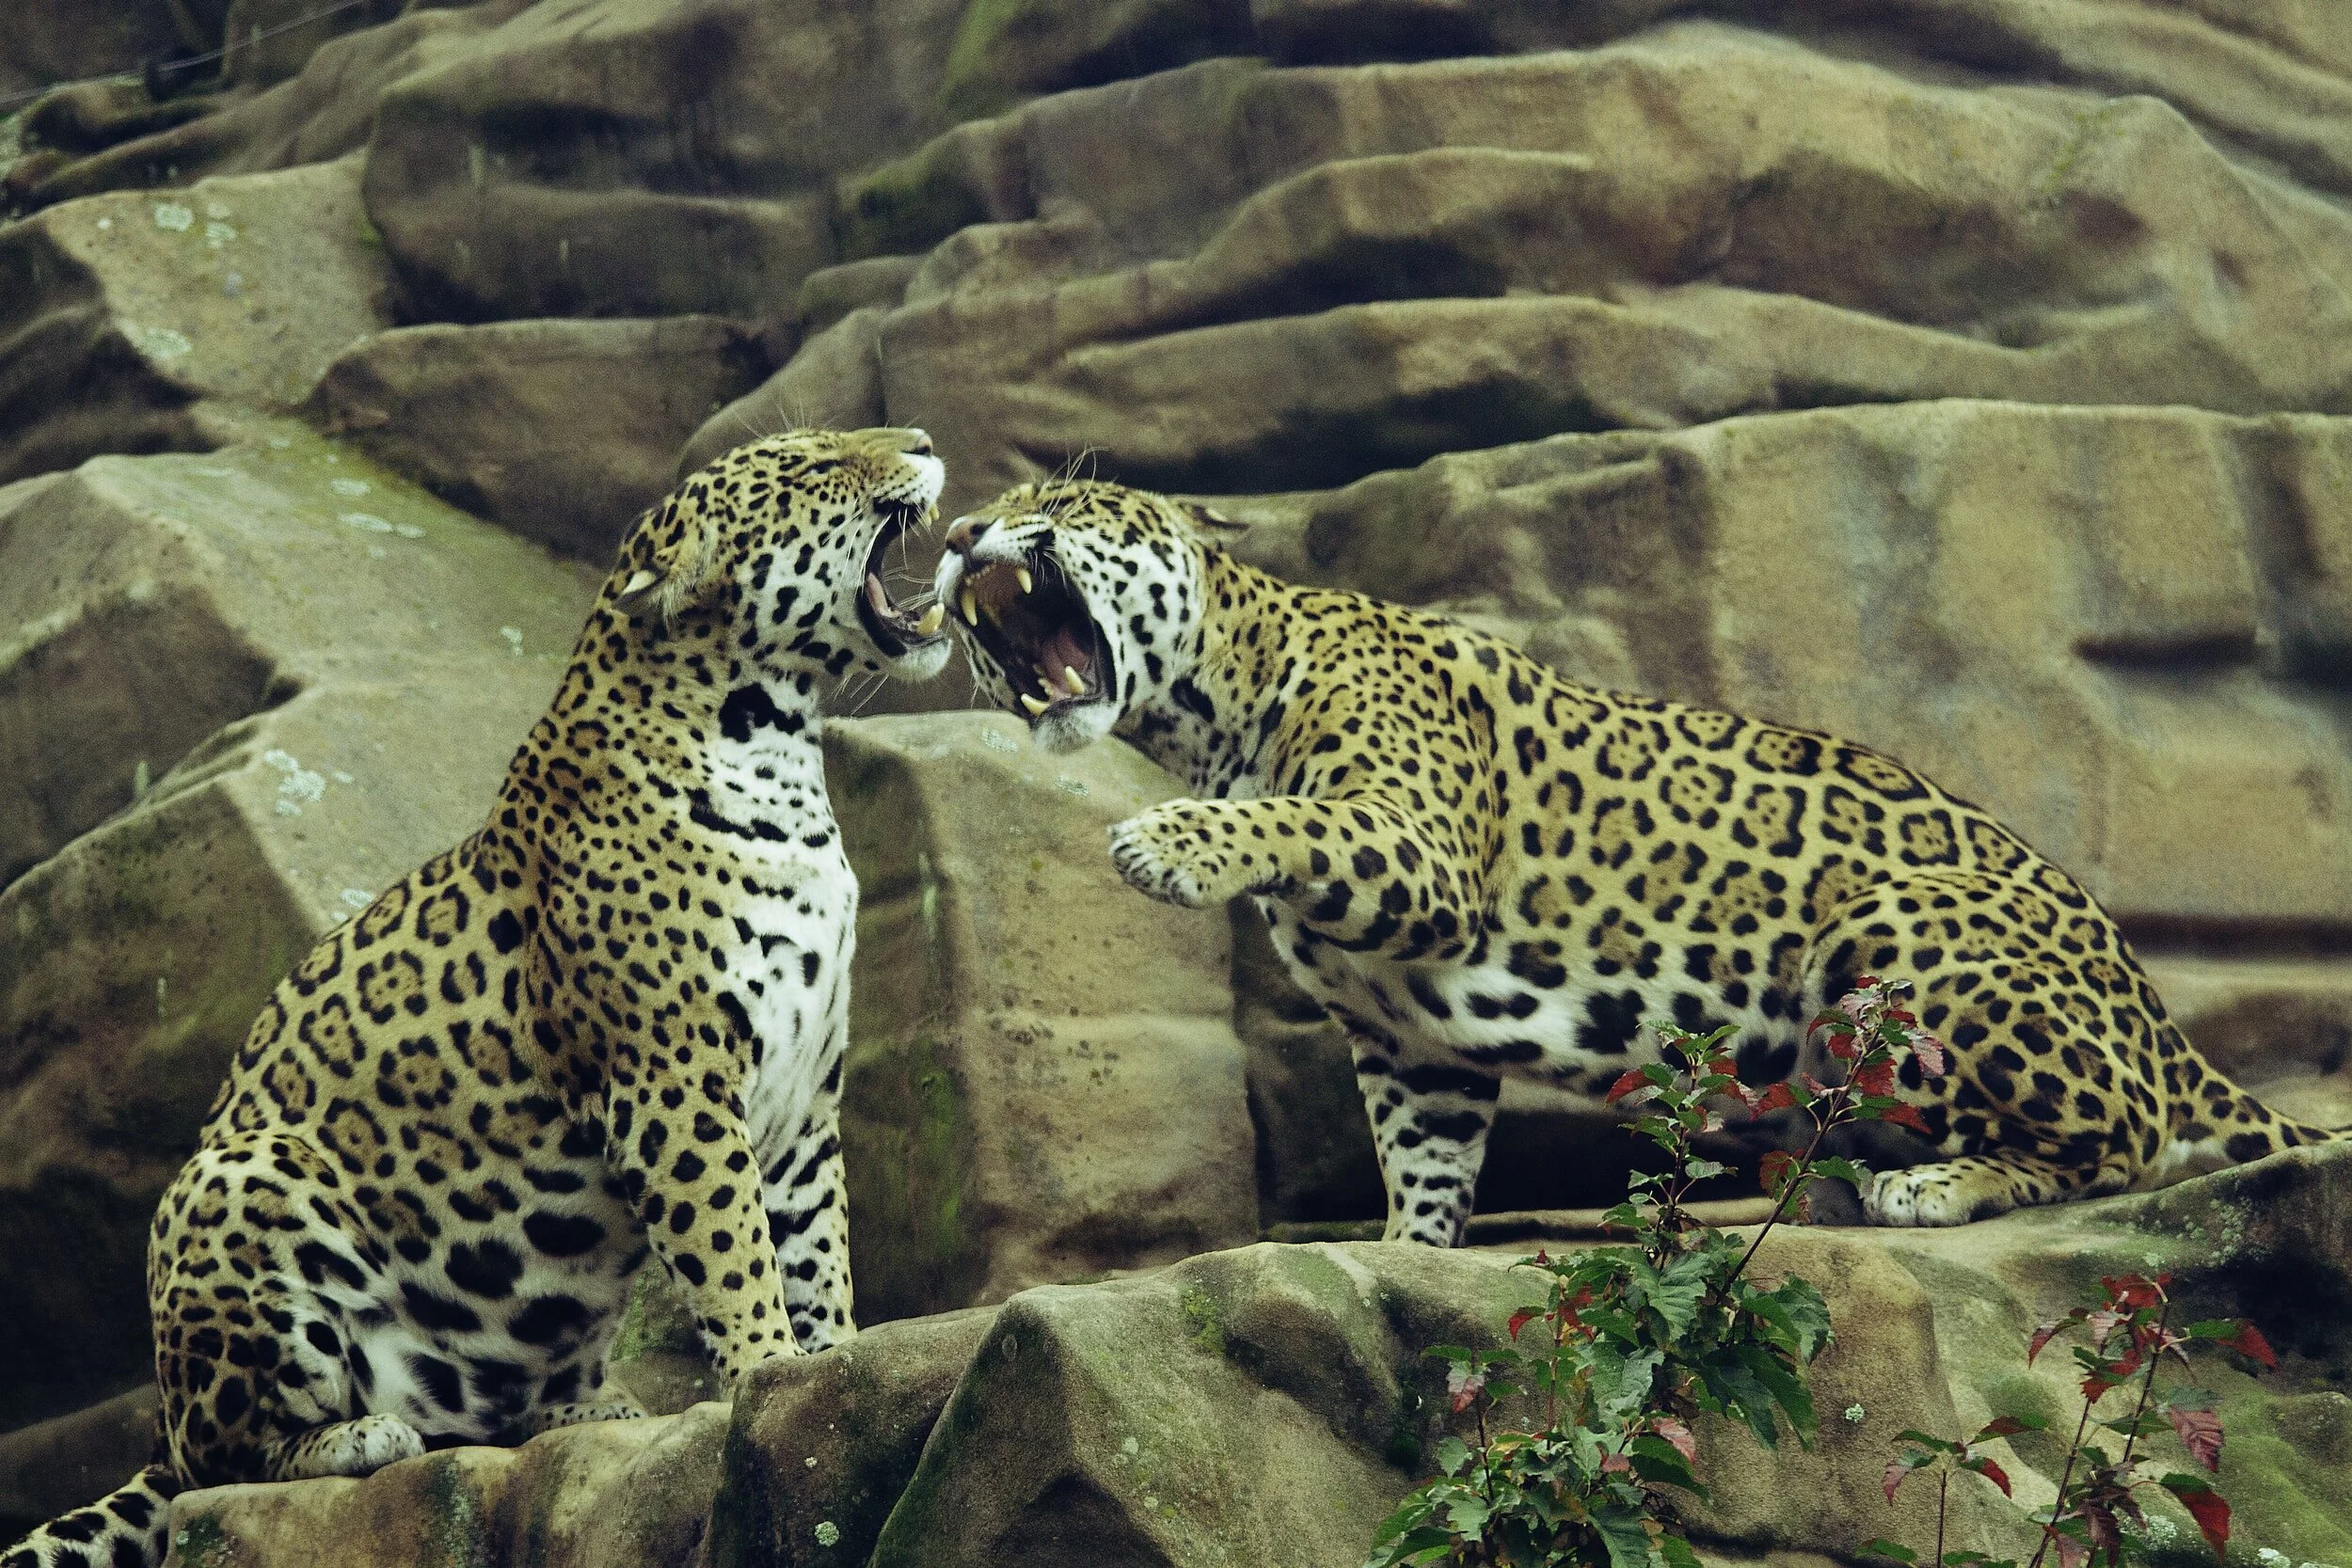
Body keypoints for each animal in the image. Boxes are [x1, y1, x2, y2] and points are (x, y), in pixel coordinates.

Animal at [5, 426, 953, 1568]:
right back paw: (359, 1433)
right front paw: (765, 1370)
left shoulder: (807, 1096)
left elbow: (814, 1249)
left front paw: (834, 1369)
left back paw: (586, 1409)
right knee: (216, 1464)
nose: (924, 442)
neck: (780, 757)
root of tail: (153, 1415)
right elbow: (736, 1253)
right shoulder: (672, 1083)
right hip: (236, 1185)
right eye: (813, 470)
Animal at [933, 474, 2337, 1249]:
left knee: (2124, 1141)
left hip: (1892, 928)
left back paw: (1930, 1184)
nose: (955, 534)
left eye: (1057, 506)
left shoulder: (1417, 837)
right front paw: (1402, 1252)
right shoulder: (1409, 1038)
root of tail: (2160, 1015)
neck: (1213, 709)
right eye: (984, 516)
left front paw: (1168, 843)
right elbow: (1425, 1154)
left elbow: (1294, 820)